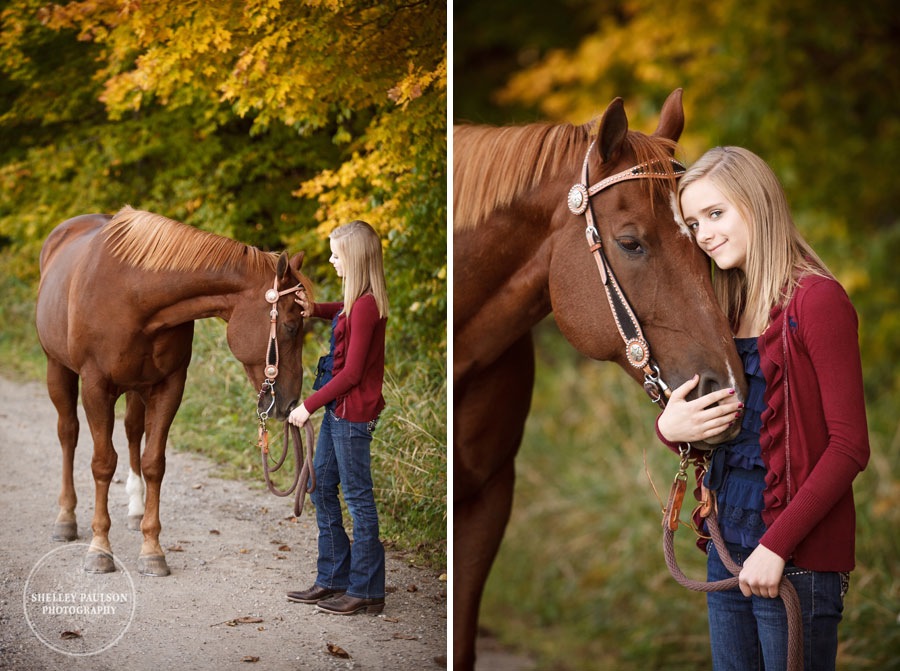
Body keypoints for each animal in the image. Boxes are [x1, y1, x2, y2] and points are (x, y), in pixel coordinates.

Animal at [36, 209, 312, 576]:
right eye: (291, 327)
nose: (290, 402)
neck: (134, 295)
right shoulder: (95, 386)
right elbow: (102, 463)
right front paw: (99, 549)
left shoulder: (169, 386)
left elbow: (154, 462)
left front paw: (152, 549)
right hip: (58, 368)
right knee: (68, 434)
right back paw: (65, 519)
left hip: (136, 389)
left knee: (132, 432)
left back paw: (135, 510)